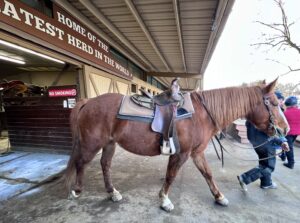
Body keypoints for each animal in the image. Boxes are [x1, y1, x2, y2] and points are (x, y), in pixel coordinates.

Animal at [65, 79, 288, 212]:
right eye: (275, 103)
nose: (285, 130)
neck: (201, 114)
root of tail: (88, 101)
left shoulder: (197, 153)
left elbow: (208, 174)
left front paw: (219, 196)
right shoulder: (182, 153)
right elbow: (171, 175)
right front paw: (164, 200)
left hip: (110, 144)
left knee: (105, 165)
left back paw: (113, 192)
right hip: (92, 143)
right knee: (81, 163)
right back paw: (76, 190)